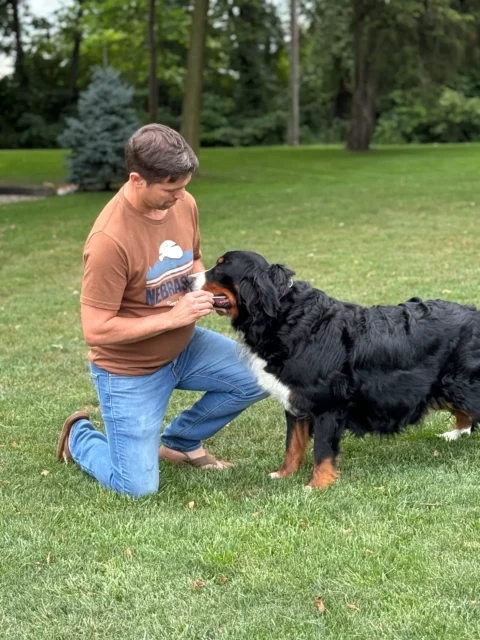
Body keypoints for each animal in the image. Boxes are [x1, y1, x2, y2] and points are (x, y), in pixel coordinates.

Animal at [186, 251, 478, 490]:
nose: (186, 280)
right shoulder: (295, 401)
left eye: (220, 267)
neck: (283, 316)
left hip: (458, 383)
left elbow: (322, 450)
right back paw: (454, 434)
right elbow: (293, 446)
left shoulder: (328, 403)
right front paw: (284, 474)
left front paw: (317, 485)